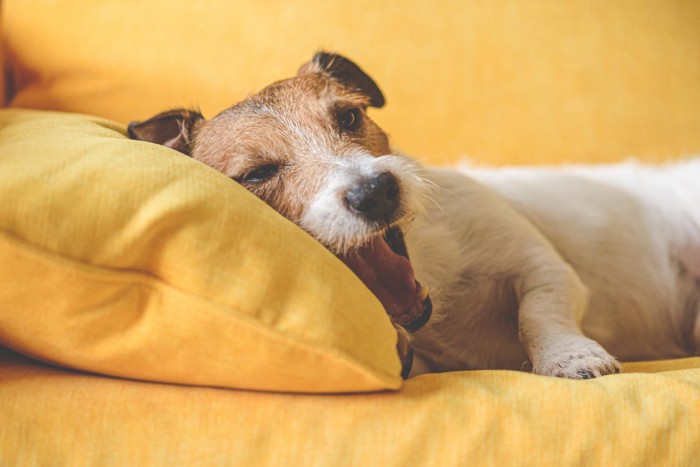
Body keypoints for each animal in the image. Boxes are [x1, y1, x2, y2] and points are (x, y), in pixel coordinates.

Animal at [129, 51, 700, 380]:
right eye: (256, 173)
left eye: (349, 116)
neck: (436, 281)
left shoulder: (543, 267)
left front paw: (570, 357)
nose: (377, 192)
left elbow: (539, 312)